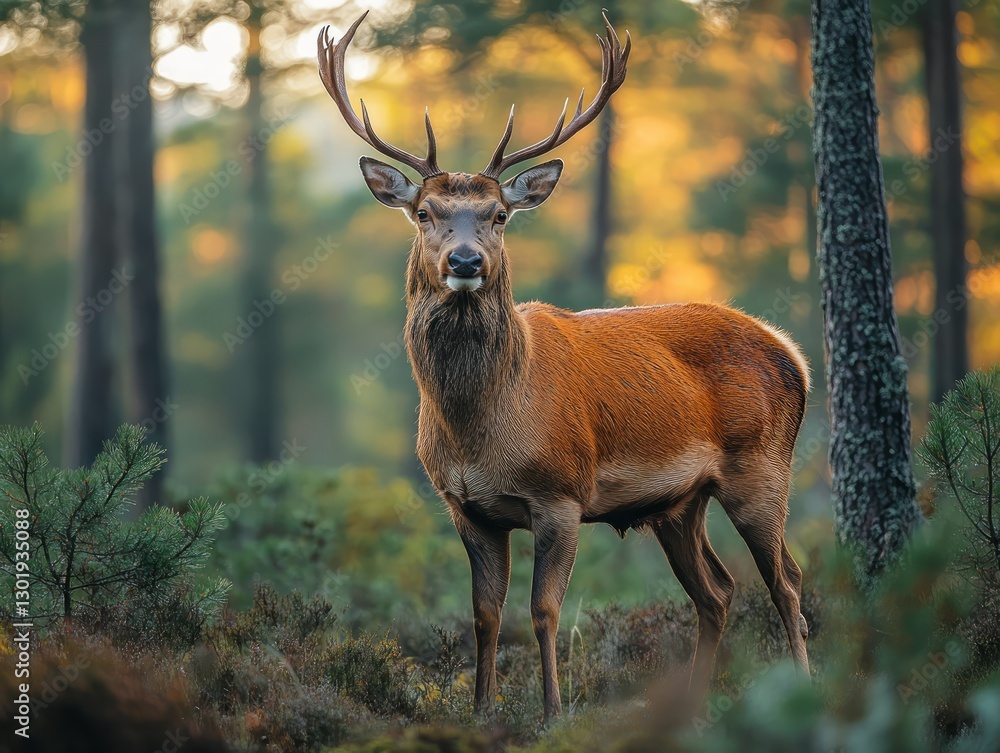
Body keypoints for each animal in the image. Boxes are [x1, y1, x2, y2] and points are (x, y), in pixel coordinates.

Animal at [318, 12, 811, 721]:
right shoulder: (465, 507)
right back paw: (688, 709)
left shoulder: (562, 493)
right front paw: (482, 711)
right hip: (679, 502)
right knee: (716, 591)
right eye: (424, 213)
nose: (465, 261)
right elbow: (485, 615)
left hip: (763, 467)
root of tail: (791, 351)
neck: (483, 429)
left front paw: (552, 711)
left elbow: (544, 611)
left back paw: (805, 689)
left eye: (499, 214)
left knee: (788, 581)